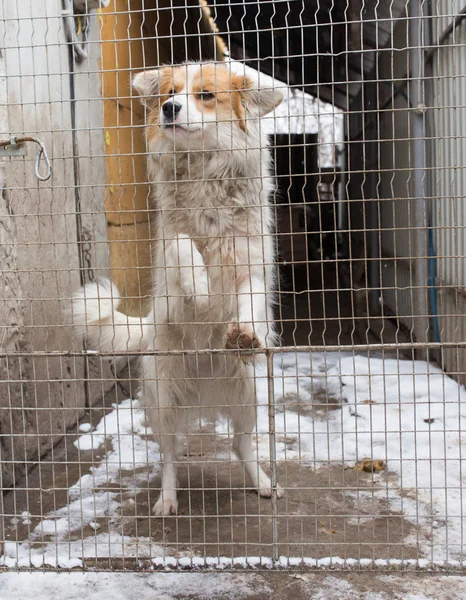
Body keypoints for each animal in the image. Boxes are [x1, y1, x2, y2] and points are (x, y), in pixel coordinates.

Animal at [72, 62, 284, 516]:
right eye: (171, 92)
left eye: (205, 95)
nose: (169, 108)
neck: (204, 167)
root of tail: (203, 387)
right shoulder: (170, 254)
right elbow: (185, 248)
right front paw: (201, 288)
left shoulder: (251, 266)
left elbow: (251, 300)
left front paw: (245, 333)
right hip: (164, 396)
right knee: (169, 454)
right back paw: (167, 499)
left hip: (246, 395)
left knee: (242, 445)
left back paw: (261, 482)